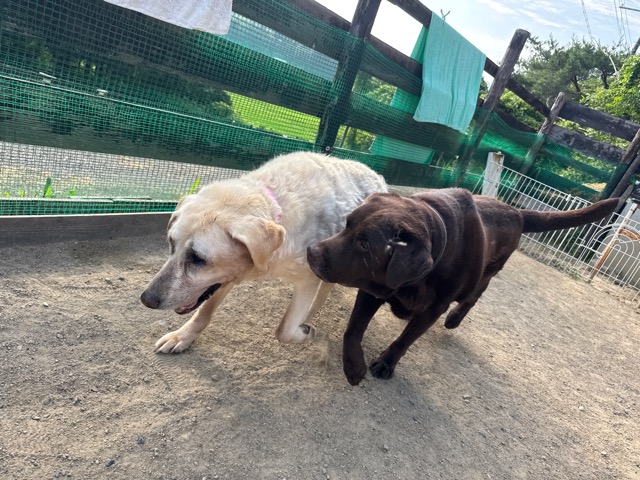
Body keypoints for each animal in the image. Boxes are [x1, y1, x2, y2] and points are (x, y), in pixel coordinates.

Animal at [140, 151, 387, 353]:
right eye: (171, 244)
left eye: (198, 259)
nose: (146, 299)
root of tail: (378, 176)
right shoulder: (225, 277)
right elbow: (204, 311)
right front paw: (182, 337)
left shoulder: (307, 278)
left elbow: (284, 330)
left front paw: (304, 334)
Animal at [306, 188, 619, 385]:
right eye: (347, 224)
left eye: (364, 243)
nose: (312, 252)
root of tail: (516, 211)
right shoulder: (375, 286)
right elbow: (353, 329)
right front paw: (354, 367)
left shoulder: (433, 308)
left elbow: (405, 340)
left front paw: (386, 363)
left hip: (483, 275)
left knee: (474, 296)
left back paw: (455, 319)